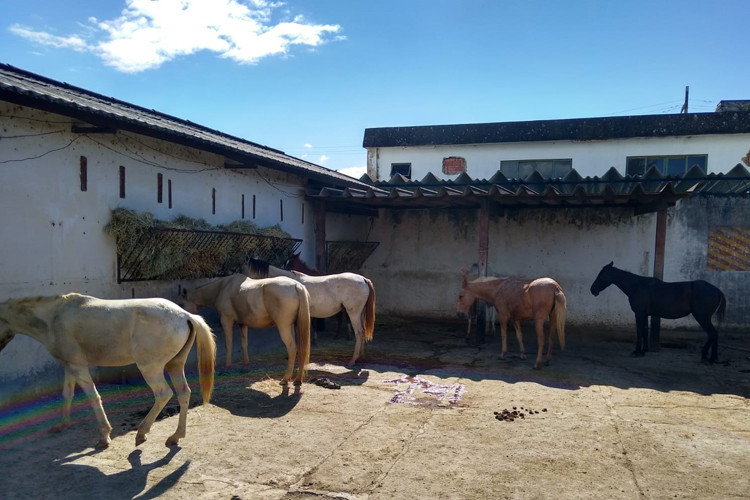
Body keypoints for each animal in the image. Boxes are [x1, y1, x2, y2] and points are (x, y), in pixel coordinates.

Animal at [0, 292, 217, 450]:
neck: (54, 317)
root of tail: (185, 315)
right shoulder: (70, 365)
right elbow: (67, 393)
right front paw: (62, 425)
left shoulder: (78, 366)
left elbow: (93, 397)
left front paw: (104, 437)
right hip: (175, 365)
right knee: (183, 393)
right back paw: (175, 436)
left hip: (151, 368)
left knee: (163, 394)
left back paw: (142, 432)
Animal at [182, 274, 312, 382]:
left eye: (182, 305)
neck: (222, 288)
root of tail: (296, 285)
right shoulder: (242, 324)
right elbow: (244, 344)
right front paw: (246, 365)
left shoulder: (227, 321)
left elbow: (228, 345)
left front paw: (227, 367)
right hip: (294, 326)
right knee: (301, 349)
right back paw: (298, 379)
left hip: (284, 327)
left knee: (292, 348)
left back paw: (286, 378)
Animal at [245, 256, 376, 366]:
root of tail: (363, 279)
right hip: (360, 313)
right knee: (362, 332)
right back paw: (360, 357)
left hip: (353, 313)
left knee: (359, 333)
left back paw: (353, 360)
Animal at [592, 262, 728, 364]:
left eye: (602, 275)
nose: (592, 290)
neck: (637, 285)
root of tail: (717, 290)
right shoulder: (644, 314)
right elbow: (644, 331)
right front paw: (643, 351)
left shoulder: (639, 313)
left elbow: (639, 331)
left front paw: (637, 352)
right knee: (713, 334)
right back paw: (712, 358)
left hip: (702, 317)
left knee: (712, 334)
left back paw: (707, 357)